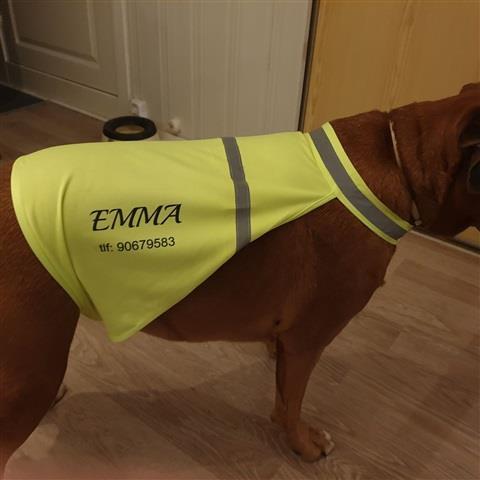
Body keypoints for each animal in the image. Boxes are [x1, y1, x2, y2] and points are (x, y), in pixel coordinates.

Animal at [0, 83, 479, 475]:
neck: (396, 159)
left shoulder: (288, 339)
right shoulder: (307, 340)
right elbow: (289, 405)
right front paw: (303, 445)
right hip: (32, 374)